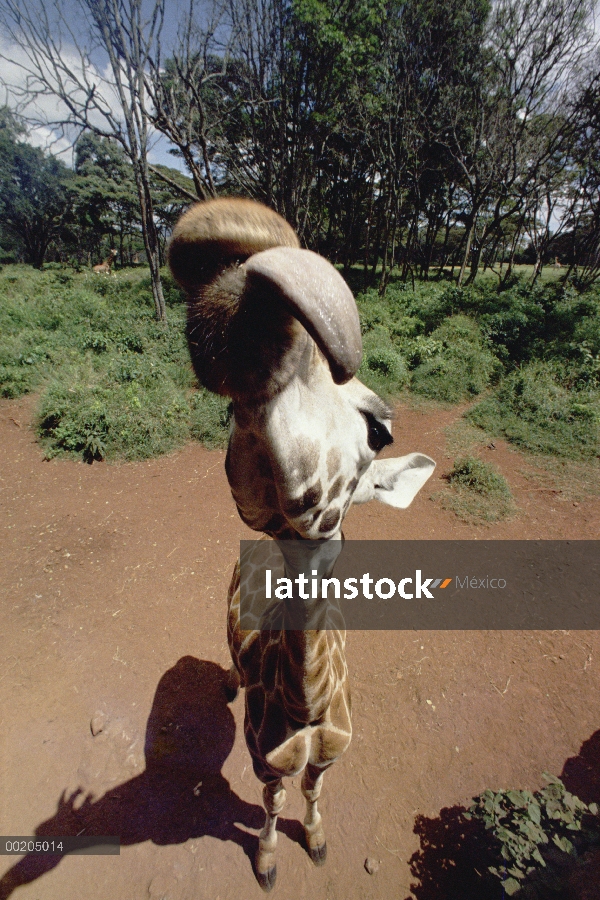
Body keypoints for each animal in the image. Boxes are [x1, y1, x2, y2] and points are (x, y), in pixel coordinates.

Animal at [169, 193, 436, 888]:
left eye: (380, 431)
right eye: (229, 414)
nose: (232, 239)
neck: (309, 708)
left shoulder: (333, 752)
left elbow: (313, 794)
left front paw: (314, 841)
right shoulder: (266, 759)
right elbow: (272, 801)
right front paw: (267, 861)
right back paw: (230, 681)